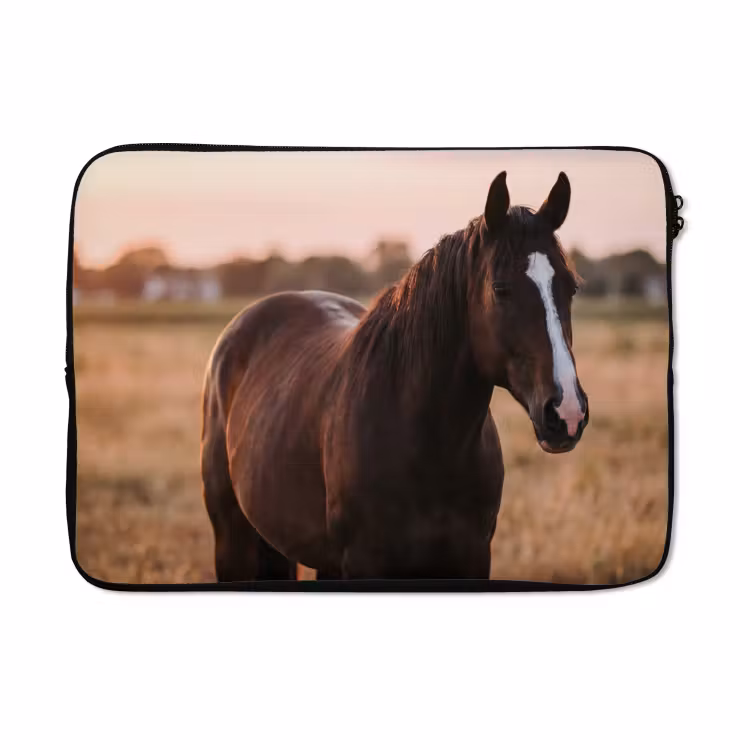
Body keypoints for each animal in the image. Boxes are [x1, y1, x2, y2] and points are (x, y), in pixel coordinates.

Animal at [200, 170, 589, 581]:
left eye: (571, 287)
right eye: (500, 289)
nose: (566, 412)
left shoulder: (472, 558)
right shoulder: (365, 562)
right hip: (233, 539)